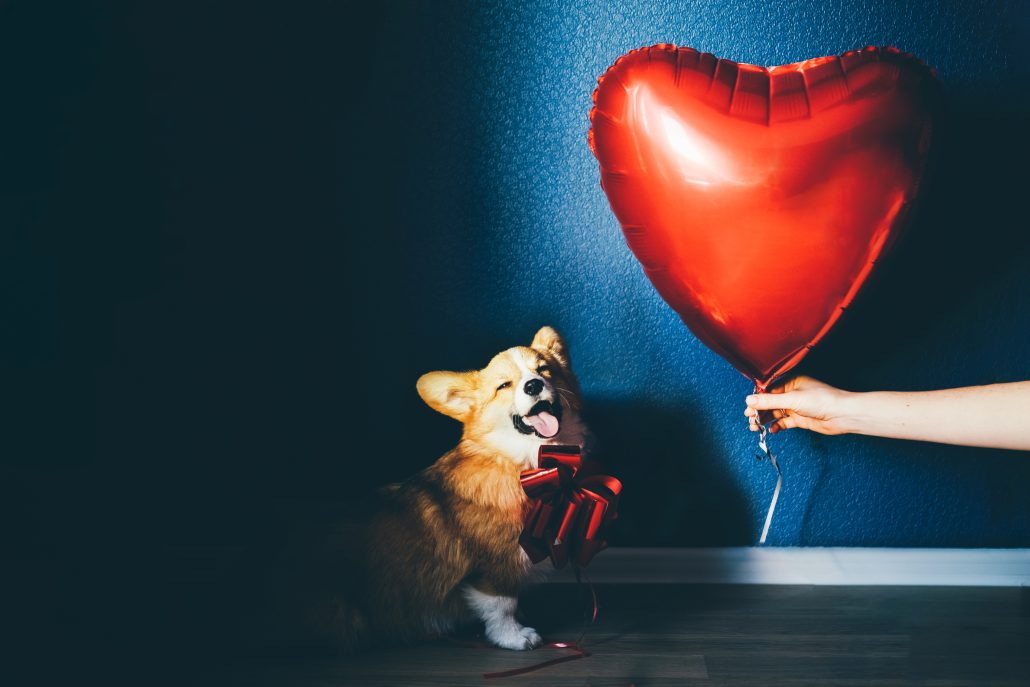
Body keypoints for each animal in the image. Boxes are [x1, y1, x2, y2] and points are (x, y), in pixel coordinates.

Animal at [246, 325, 589, 655]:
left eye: (544, 370)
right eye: (504, 386)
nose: (533, 385)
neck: (521, 460)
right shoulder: (494, 568)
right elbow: (502, 606)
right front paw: (514, 637)